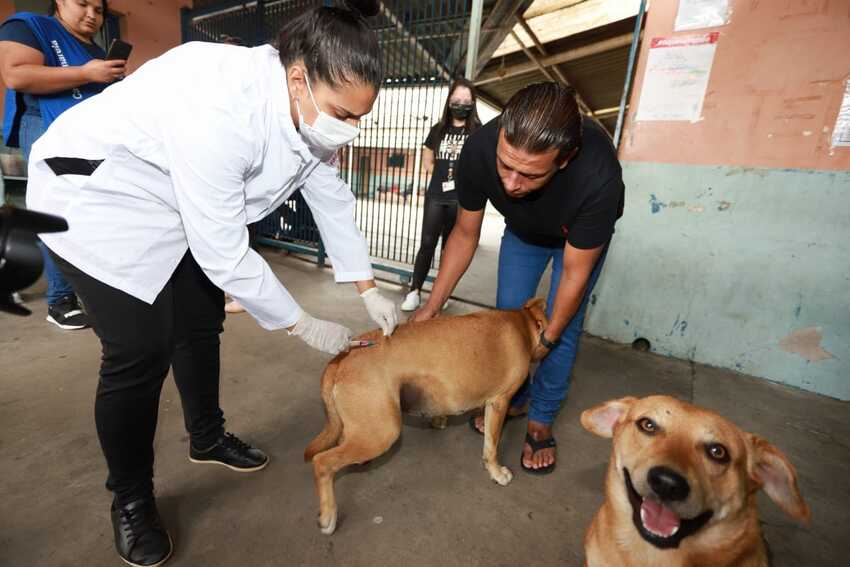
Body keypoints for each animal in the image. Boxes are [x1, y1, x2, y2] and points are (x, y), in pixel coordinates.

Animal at [302, 300, 548, 536]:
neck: (523, 322)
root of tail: (342, 357)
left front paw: (439, 419)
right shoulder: (499, 401)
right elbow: (491, 446)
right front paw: (496, 472)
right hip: (384, 432)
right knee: (322, 462)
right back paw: (328, 516)